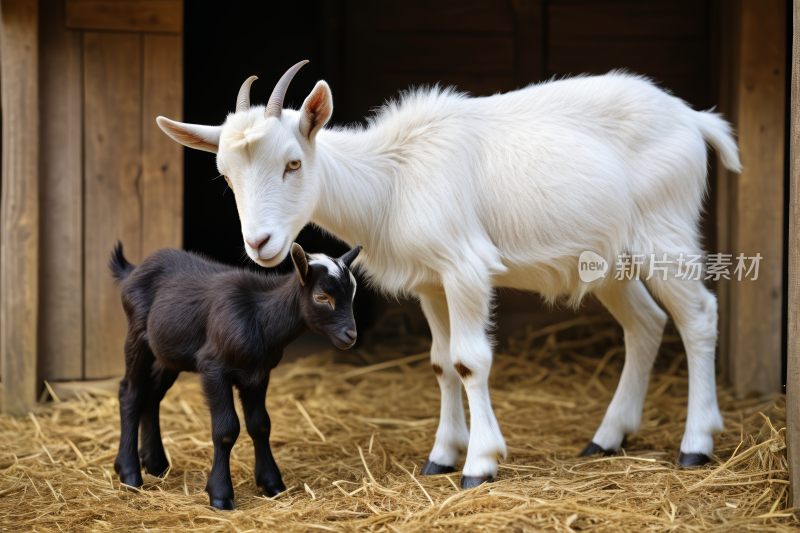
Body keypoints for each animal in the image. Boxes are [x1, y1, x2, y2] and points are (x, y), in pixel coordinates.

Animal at [158, 60, 744, 488]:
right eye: (226, 175)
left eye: (293, 163)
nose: (260, 244)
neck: (392, 177)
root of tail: (693, 119)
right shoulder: (429, 281)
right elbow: (441, 363)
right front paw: (441, 456)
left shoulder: (465, 269)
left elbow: (469, 361)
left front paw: (480, 464)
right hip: (609, 260)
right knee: (645, 324)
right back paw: (607, 437)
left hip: (665, 234)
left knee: (699, 316)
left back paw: (696, 444)